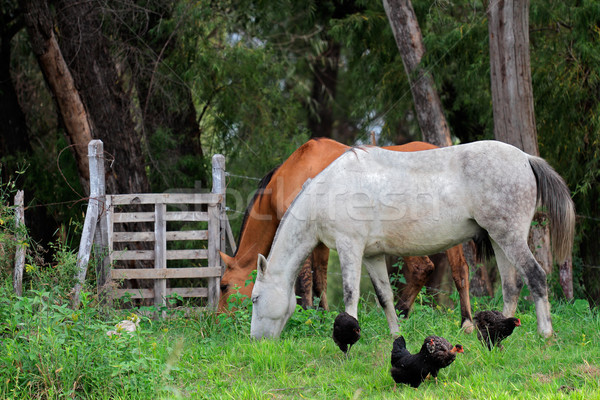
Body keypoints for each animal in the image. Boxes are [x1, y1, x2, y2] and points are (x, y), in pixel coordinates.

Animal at [218, 138, 476, 332]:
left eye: (224, 286)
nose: (218, 318)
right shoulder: (320, 240)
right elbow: (319, 279)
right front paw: (322, 315)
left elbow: (306, 280)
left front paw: (311, 316)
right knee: (460, 271)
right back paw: (463, 321)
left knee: (422, 269)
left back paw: (403, 314)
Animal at [251, 142, 576, 340]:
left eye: (254, 298)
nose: (256, 340)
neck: (330, 190)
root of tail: (525, 158)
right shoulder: (371, 256)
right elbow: (385, 296)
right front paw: (395, 335)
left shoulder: (349, 248)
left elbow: (350, 294)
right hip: (499, 240)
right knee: (511, 286)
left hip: (510, 238)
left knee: (535, 276)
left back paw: (545, 334)